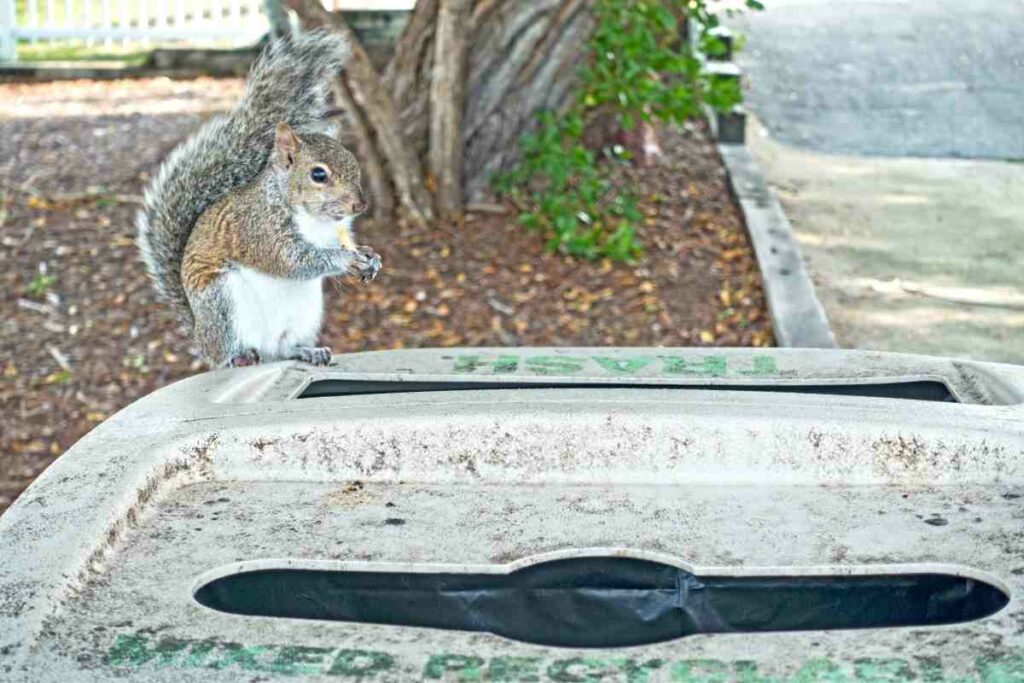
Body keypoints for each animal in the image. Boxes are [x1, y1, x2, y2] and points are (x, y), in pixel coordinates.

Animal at [136, 31, 381, 368]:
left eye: (354, 163)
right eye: (319, 174)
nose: (359, 206)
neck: (312, 218)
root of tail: (201, 336)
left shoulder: (336, 231)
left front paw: (371, 257)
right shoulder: (258, 228)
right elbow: (291, 259)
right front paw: (345, 260)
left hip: (304, 314)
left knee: (282, 349)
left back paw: (306, 351)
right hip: (222, 301)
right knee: (230, 351)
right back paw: (238, 357)